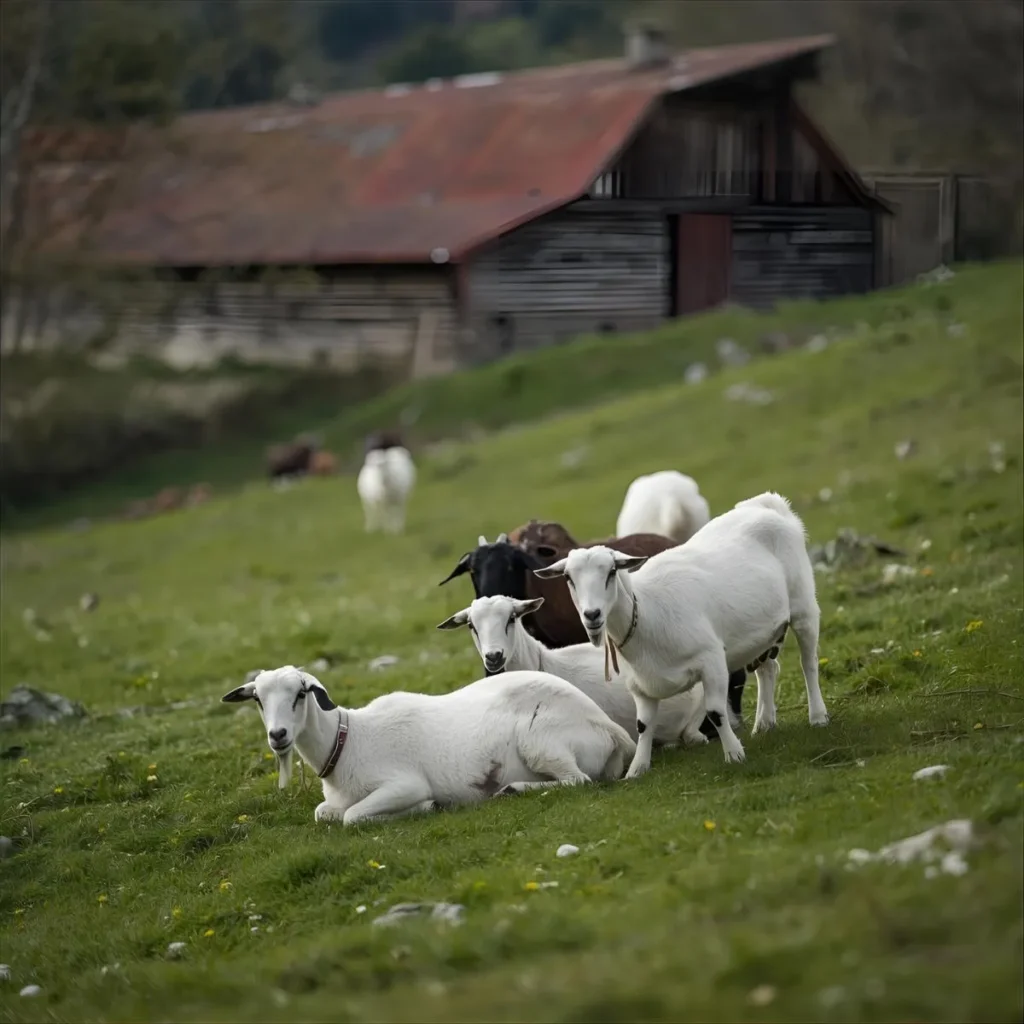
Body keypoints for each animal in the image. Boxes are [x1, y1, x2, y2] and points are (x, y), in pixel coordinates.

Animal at [221, 665, 635, 824]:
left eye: (300, 695)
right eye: (258, 699)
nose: (278, 736)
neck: (348, 741)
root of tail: (611, 729)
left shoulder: (404, 783)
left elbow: (353, 816)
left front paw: (425, 807)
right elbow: (324, 813)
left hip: (542, 741)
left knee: (578, 780)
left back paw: (513, 789)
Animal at [535, 492, 829, 777]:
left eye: (611, 572)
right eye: (568, 578)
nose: (592, 615)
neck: (645, 613)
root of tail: (767, 503)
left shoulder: (712, 661)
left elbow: (716, 712)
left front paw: (734, 754)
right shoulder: (640, 686)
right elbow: (643, 726)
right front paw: (637, 769)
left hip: (803, 606)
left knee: (808, 663)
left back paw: (818, 716)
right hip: (762, 632)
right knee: (767, 669)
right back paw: (764, 724)